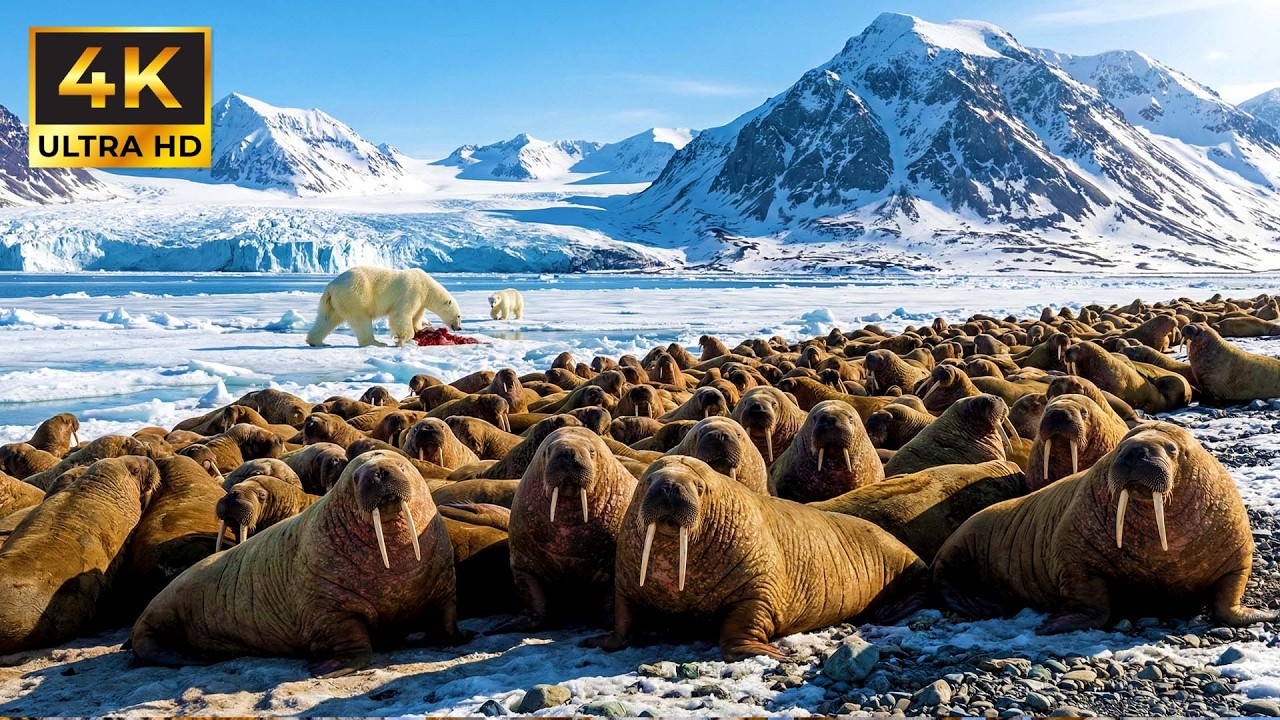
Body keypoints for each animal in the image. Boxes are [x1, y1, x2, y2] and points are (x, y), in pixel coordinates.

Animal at [306, 267, 463, 348]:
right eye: (458, 316)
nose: (459, 327)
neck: (426, 286)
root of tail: (331, 287)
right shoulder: (412, 292)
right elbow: (401, 314)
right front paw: (401, 340)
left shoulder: (421, 301)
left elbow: (416, 316)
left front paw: (420, 329)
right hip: (356, 295)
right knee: (361, 320)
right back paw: (376, 342)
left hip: (334, 302)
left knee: (327, 320)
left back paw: (317, 342)